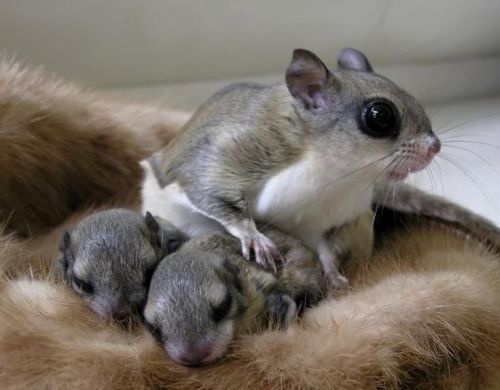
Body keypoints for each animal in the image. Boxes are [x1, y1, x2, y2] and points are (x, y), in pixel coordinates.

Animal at [145, 47, 442, 288]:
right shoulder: (231, 153)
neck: (336, 174)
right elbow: (209, 193)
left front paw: (333, 273)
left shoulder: (320, 222)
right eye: (380, 115)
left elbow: (325, 249)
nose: (435, 147)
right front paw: (255, 238)